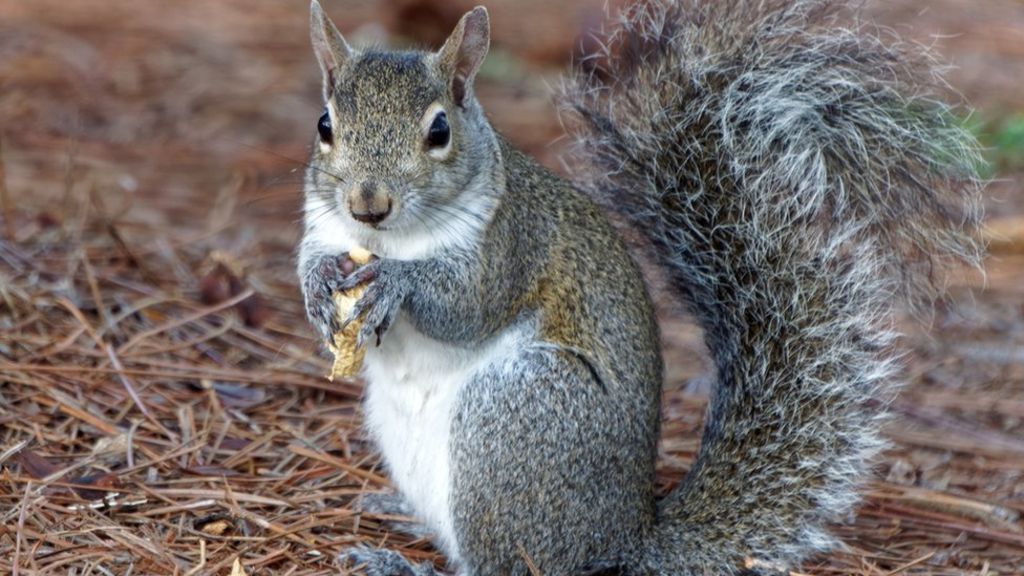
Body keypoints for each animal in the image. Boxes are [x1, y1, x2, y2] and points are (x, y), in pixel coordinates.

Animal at [297, 0, 985, 574]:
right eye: (325, 124)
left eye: (439, 132)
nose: (368, 204)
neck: (392, 237)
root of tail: (627, 540)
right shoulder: (323, 224)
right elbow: (311, 258)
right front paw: (317, 284)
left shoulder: (510, 244)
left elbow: (466, 306)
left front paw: (397, 282)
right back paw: (396, 515)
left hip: (517, 418)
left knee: (505, 563)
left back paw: (404, 564)